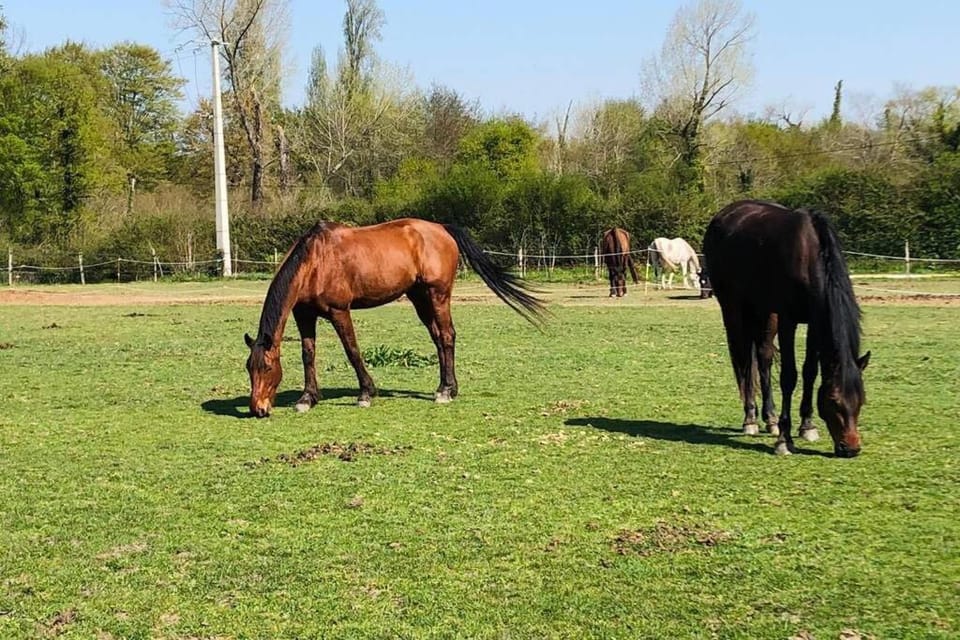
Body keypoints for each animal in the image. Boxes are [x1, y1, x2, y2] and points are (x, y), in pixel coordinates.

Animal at [244, 219, 547, 418]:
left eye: (267, 368)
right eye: (249, 368)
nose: (258, 409)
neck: (315, 261)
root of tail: (442, 229)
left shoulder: (339, 311)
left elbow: (352, 350)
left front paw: (366, 393)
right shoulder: (304, 314)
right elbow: (308, 354)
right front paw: (307, 398)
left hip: (438, 295)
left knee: (448, 336)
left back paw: (447, 392)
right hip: (419, 298)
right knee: (438, 338)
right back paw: (445, 387)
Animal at [702, 200, 870, 457]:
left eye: (861, 400)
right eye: (834, 400)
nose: (851, 448)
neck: (809, 255)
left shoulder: (814, 321)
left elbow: (810, 371)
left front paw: (807, 426)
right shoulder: (788, 320)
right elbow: (789, 376)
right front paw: (784, 439)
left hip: (764, 311)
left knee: (763, 358)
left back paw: (770, 419)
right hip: (733, 308)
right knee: (744, 361)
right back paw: (750, 420)